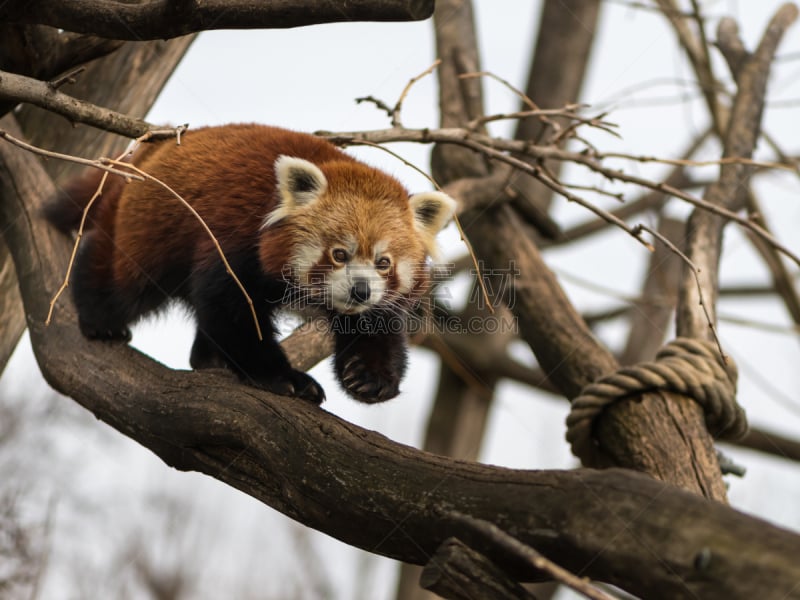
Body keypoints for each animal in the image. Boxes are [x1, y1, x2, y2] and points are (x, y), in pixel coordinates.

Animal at [48, 123, 456, 404]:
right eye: (339, 253)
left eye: (383, 262)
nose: (360, 290)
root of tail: (152, 151)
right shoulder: (235, 241)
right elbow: (234, 311)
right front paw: (281, 377)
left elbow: (375, 328)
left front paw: (369, 376)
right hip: (148, 226)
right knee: (122, 280)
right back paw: (99, 318)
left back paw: (208, 357)